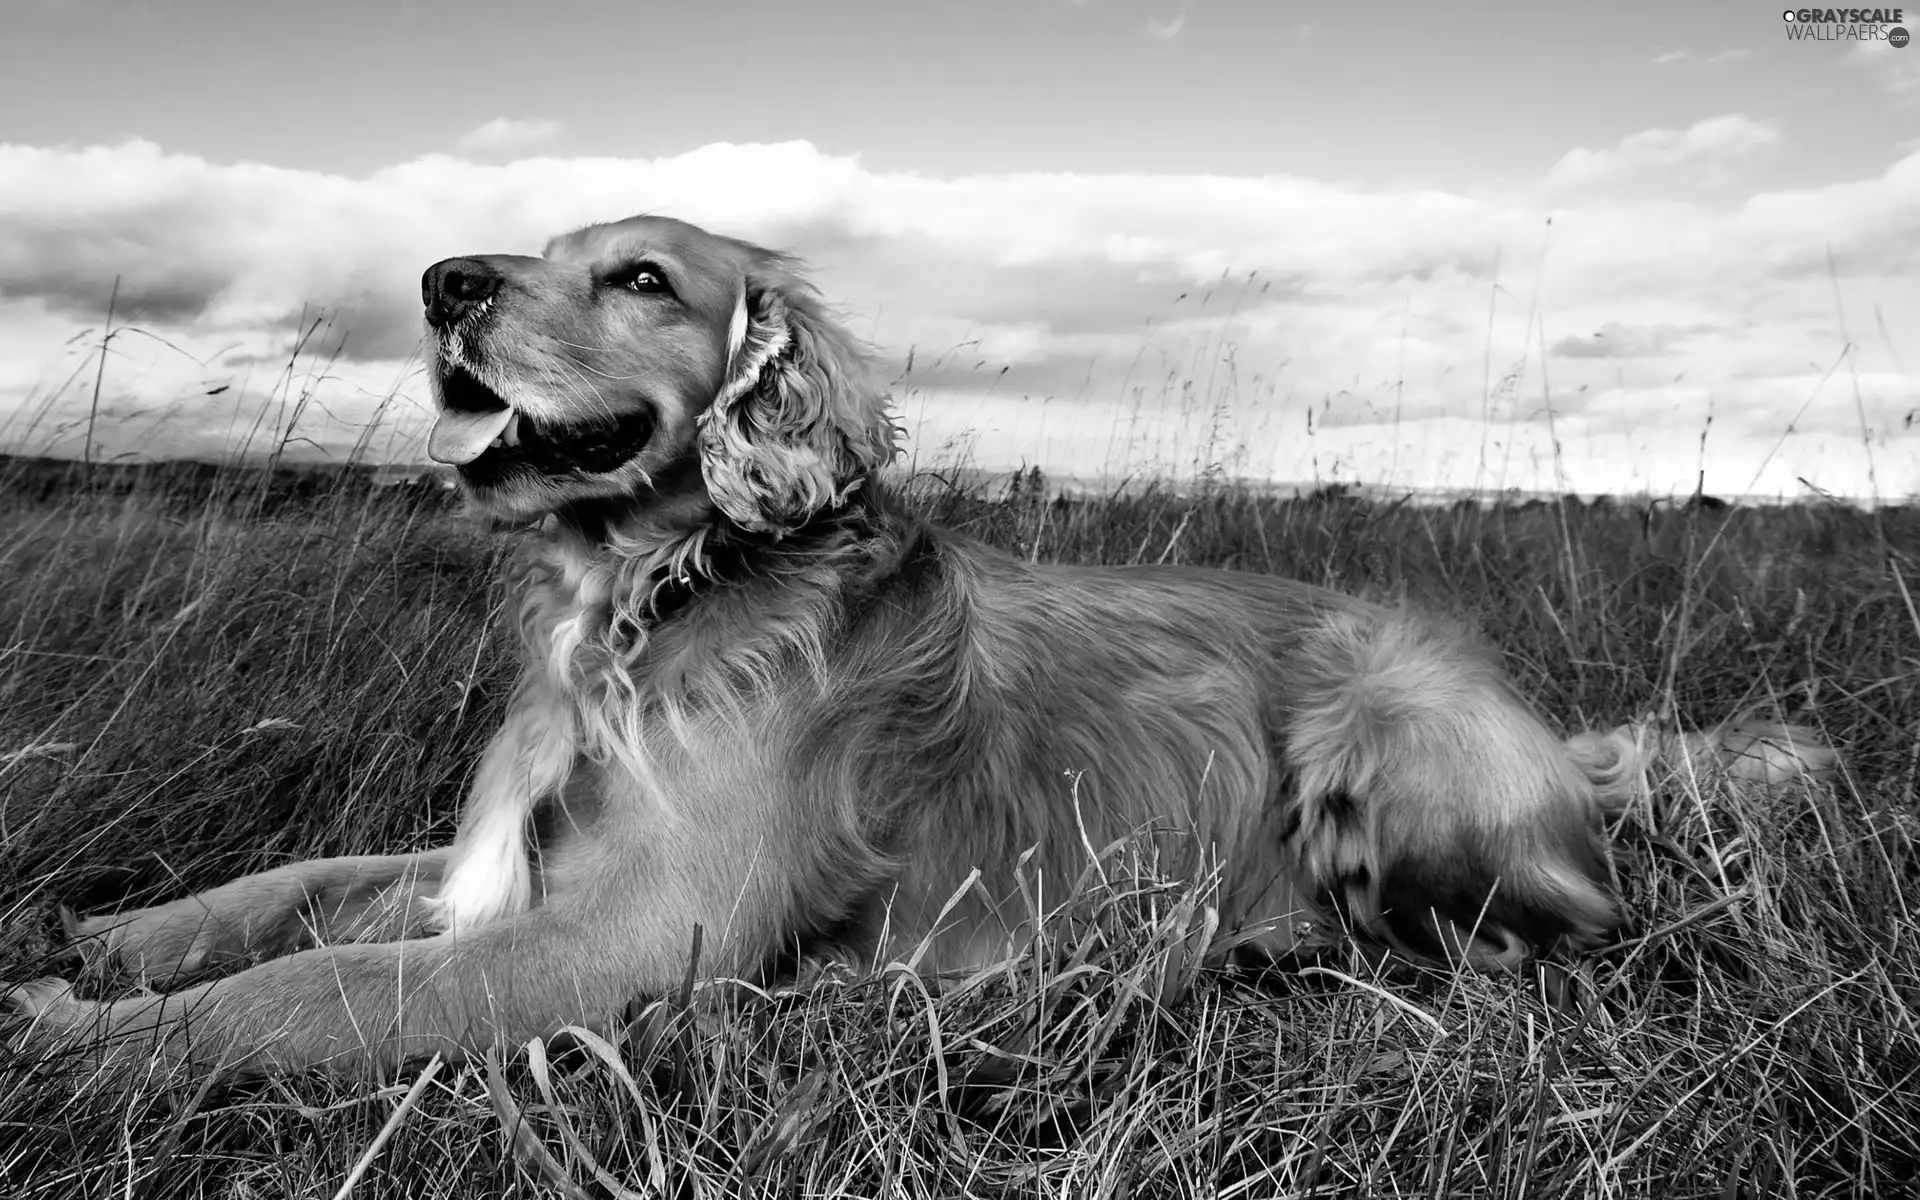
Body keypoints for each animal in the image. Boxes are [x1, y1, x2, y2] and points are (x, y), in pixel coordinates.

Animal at [3, 215, 1843, 1082]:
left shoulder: (624, 937)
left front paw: (77, 1044)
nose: (444, 280)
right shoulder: (505, 869)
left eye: (645, 277)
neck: (646, 600)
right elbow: (290, 891)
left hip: (1382, 744)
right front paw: (110, 938)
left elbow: (304, 992)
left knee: (1546, 933)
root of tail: (1547, 726)